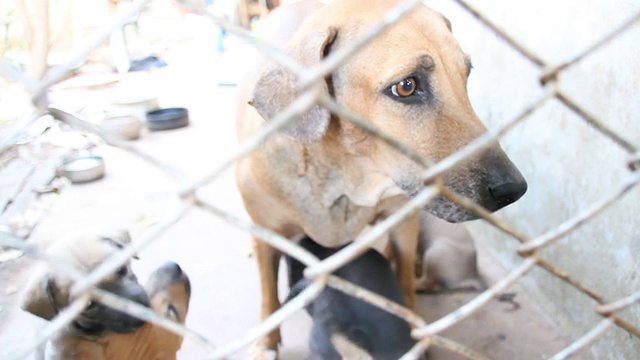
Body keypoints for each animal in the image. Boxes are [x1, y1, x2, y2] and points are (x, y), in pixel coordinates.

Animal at [238, 0, 528, 356]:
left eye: (466, 73)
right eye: (406, 86)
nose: (513, 190)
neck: (346, 178)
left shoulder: (402, 220)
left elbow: (403, 283)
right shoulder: (265, 235)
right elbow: (269, 294)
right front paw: (266, 340)